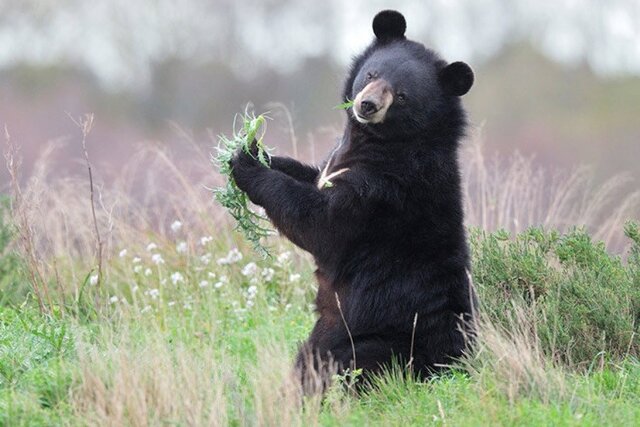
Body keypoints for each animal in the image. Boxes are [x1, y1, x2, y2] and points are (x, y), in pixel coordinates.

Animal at [230, 10, 476, 392]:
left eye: (402, 96)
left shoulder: (382, 191)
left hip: (373, 336)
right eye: (372, 74)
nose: (366, 105)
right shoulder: (333, 166)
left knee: (336, 365)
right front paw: (252, 146)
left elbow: (320, 224)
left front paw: (245, 163)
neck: (376, 141)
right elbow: (311, 175)